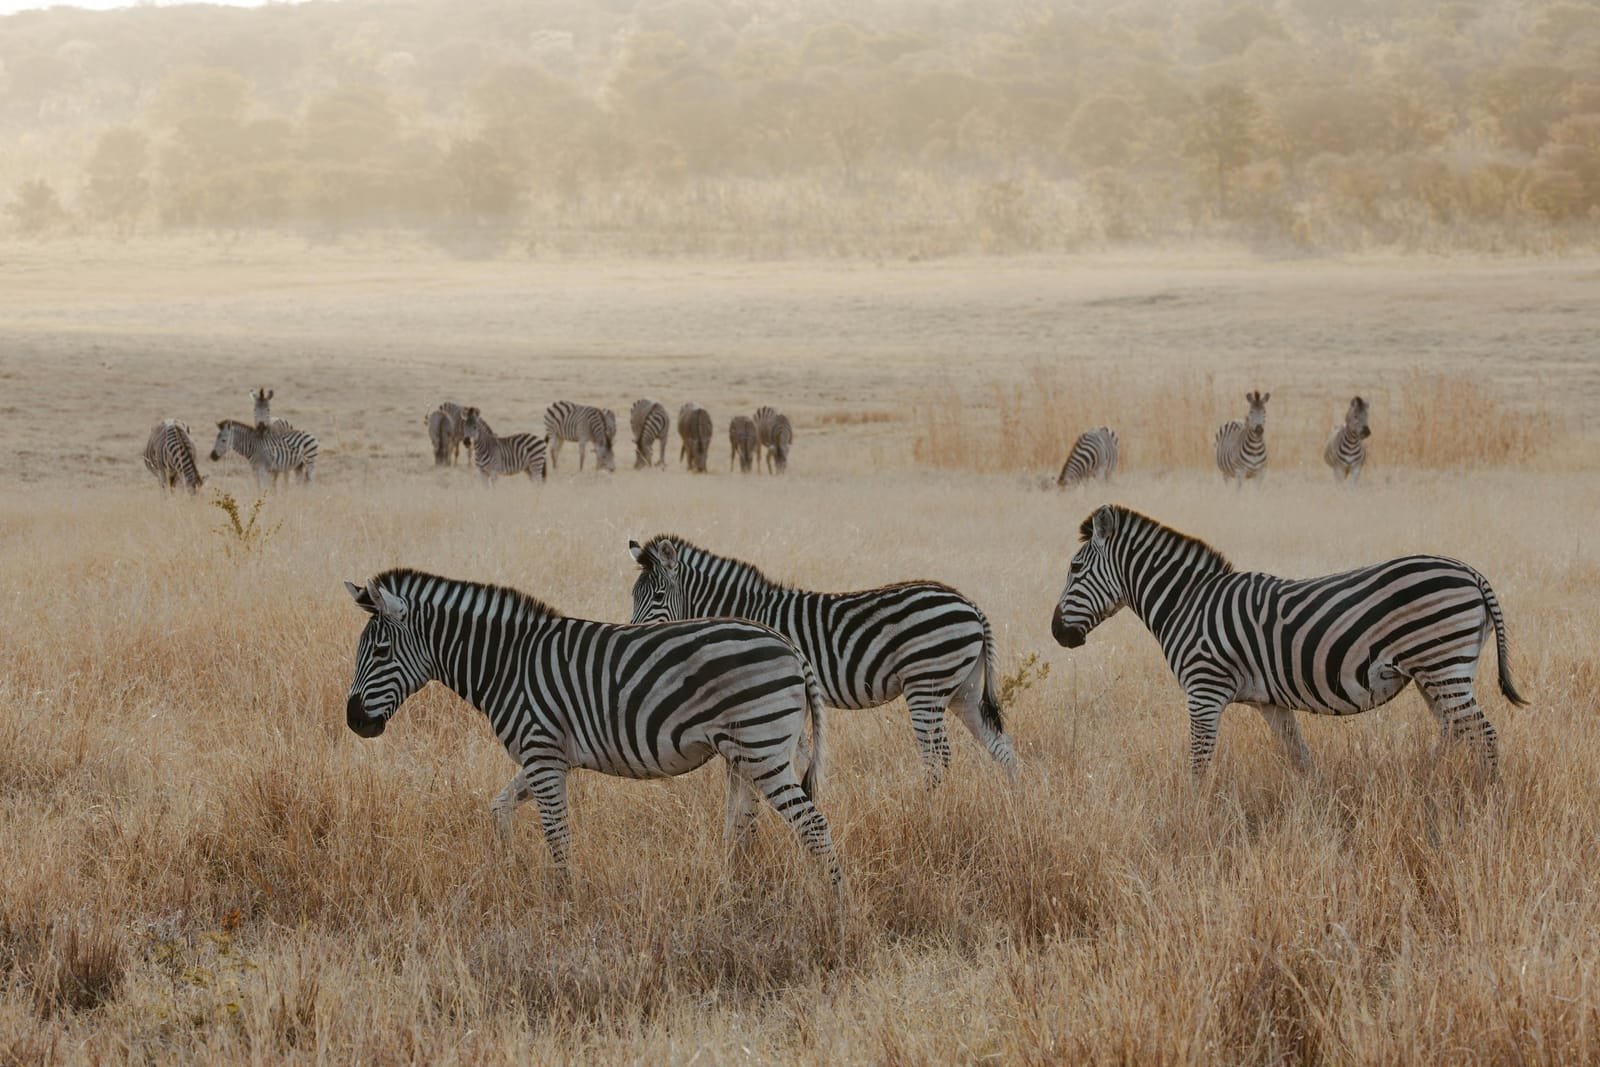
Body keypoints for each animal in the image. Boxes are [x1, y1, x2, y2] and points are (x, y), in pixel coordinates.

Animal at [342, 568, 841, 894]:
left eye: (381, 650)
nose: (354, 721)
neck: (507, 664)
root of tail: (790, 646)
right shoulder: (546, 757)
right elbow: (499, 809)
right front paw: (511, 870)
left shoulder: (542, 753)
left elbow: (557, 834)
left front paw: (566, 900)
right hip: (745, 752)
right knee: (741, 827)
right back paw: (731, 891)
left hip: (762, 748)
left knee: (813, 825)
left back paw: (833, 905)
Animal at [629, 535, 1018, 784]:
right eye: (633, 595)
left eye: (659, 595)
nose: (632, 632)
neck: (745, 610)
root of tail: (969, 604)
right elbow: (801, 752)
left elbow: (796, 750)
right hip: (962, 689)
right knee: (1000, 744)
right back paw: (1014, 801)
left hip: (927, 684)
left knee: (938, 753)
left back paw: (929, 805)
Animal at [1050, 504, 1528, 775]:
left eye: (1074, 568)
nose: (1057, 633)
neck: (1188, 602)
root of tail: (1471, 572)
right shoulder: (1270, 701)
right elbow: (1299, 758)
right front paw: (1315, 808)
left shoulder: (1204, 692)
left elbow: (1198, 764)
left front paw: (1193, 819)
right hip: (1437, 672)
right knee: (1455, 729)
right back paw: (1426, 780)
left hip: (1443, 665)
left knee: (1483, 735)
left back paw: (1488, 801)